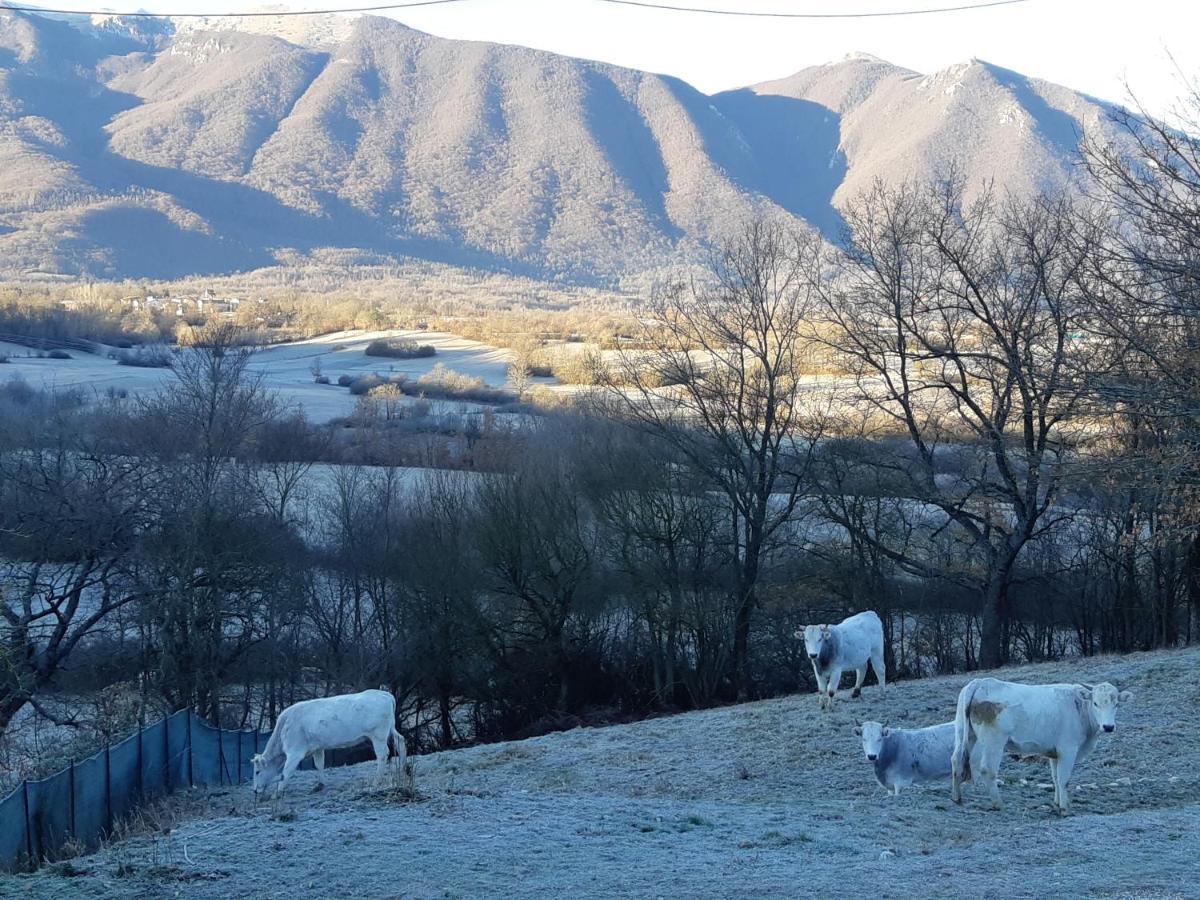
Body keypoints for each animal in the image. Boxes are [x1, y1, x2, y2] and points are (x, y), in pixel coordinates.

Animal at [250, 686, 410, 801]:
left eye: (257, 771)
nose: (255, 790)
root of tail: (384, 694)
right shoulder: (317, 747)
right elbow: (319, 764)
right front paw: (320, 785)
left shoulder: (295, 752)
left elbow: (286, 772)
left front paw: (276, 793)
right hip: (390, 729)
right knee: (400, 741)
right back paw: (403, 769)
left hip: (378, 735)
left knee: (382, 755)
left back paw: (377, 781)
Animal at [945, 681, 1132, 816]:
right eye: (1095, 703)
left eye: (1116, 704)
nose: (1108, 727)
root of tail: (979, 682)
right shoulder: (1068, 749)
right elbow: (1064, 779)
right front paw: (1064, 809)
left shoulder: (1055, 753)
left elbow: (1055, 778)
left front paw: (1057, 802)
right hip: (994, 740)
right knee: (987, 769)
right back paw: (998, 804)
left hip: (964, 733)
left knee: (955, 760)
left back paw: (956, 798)